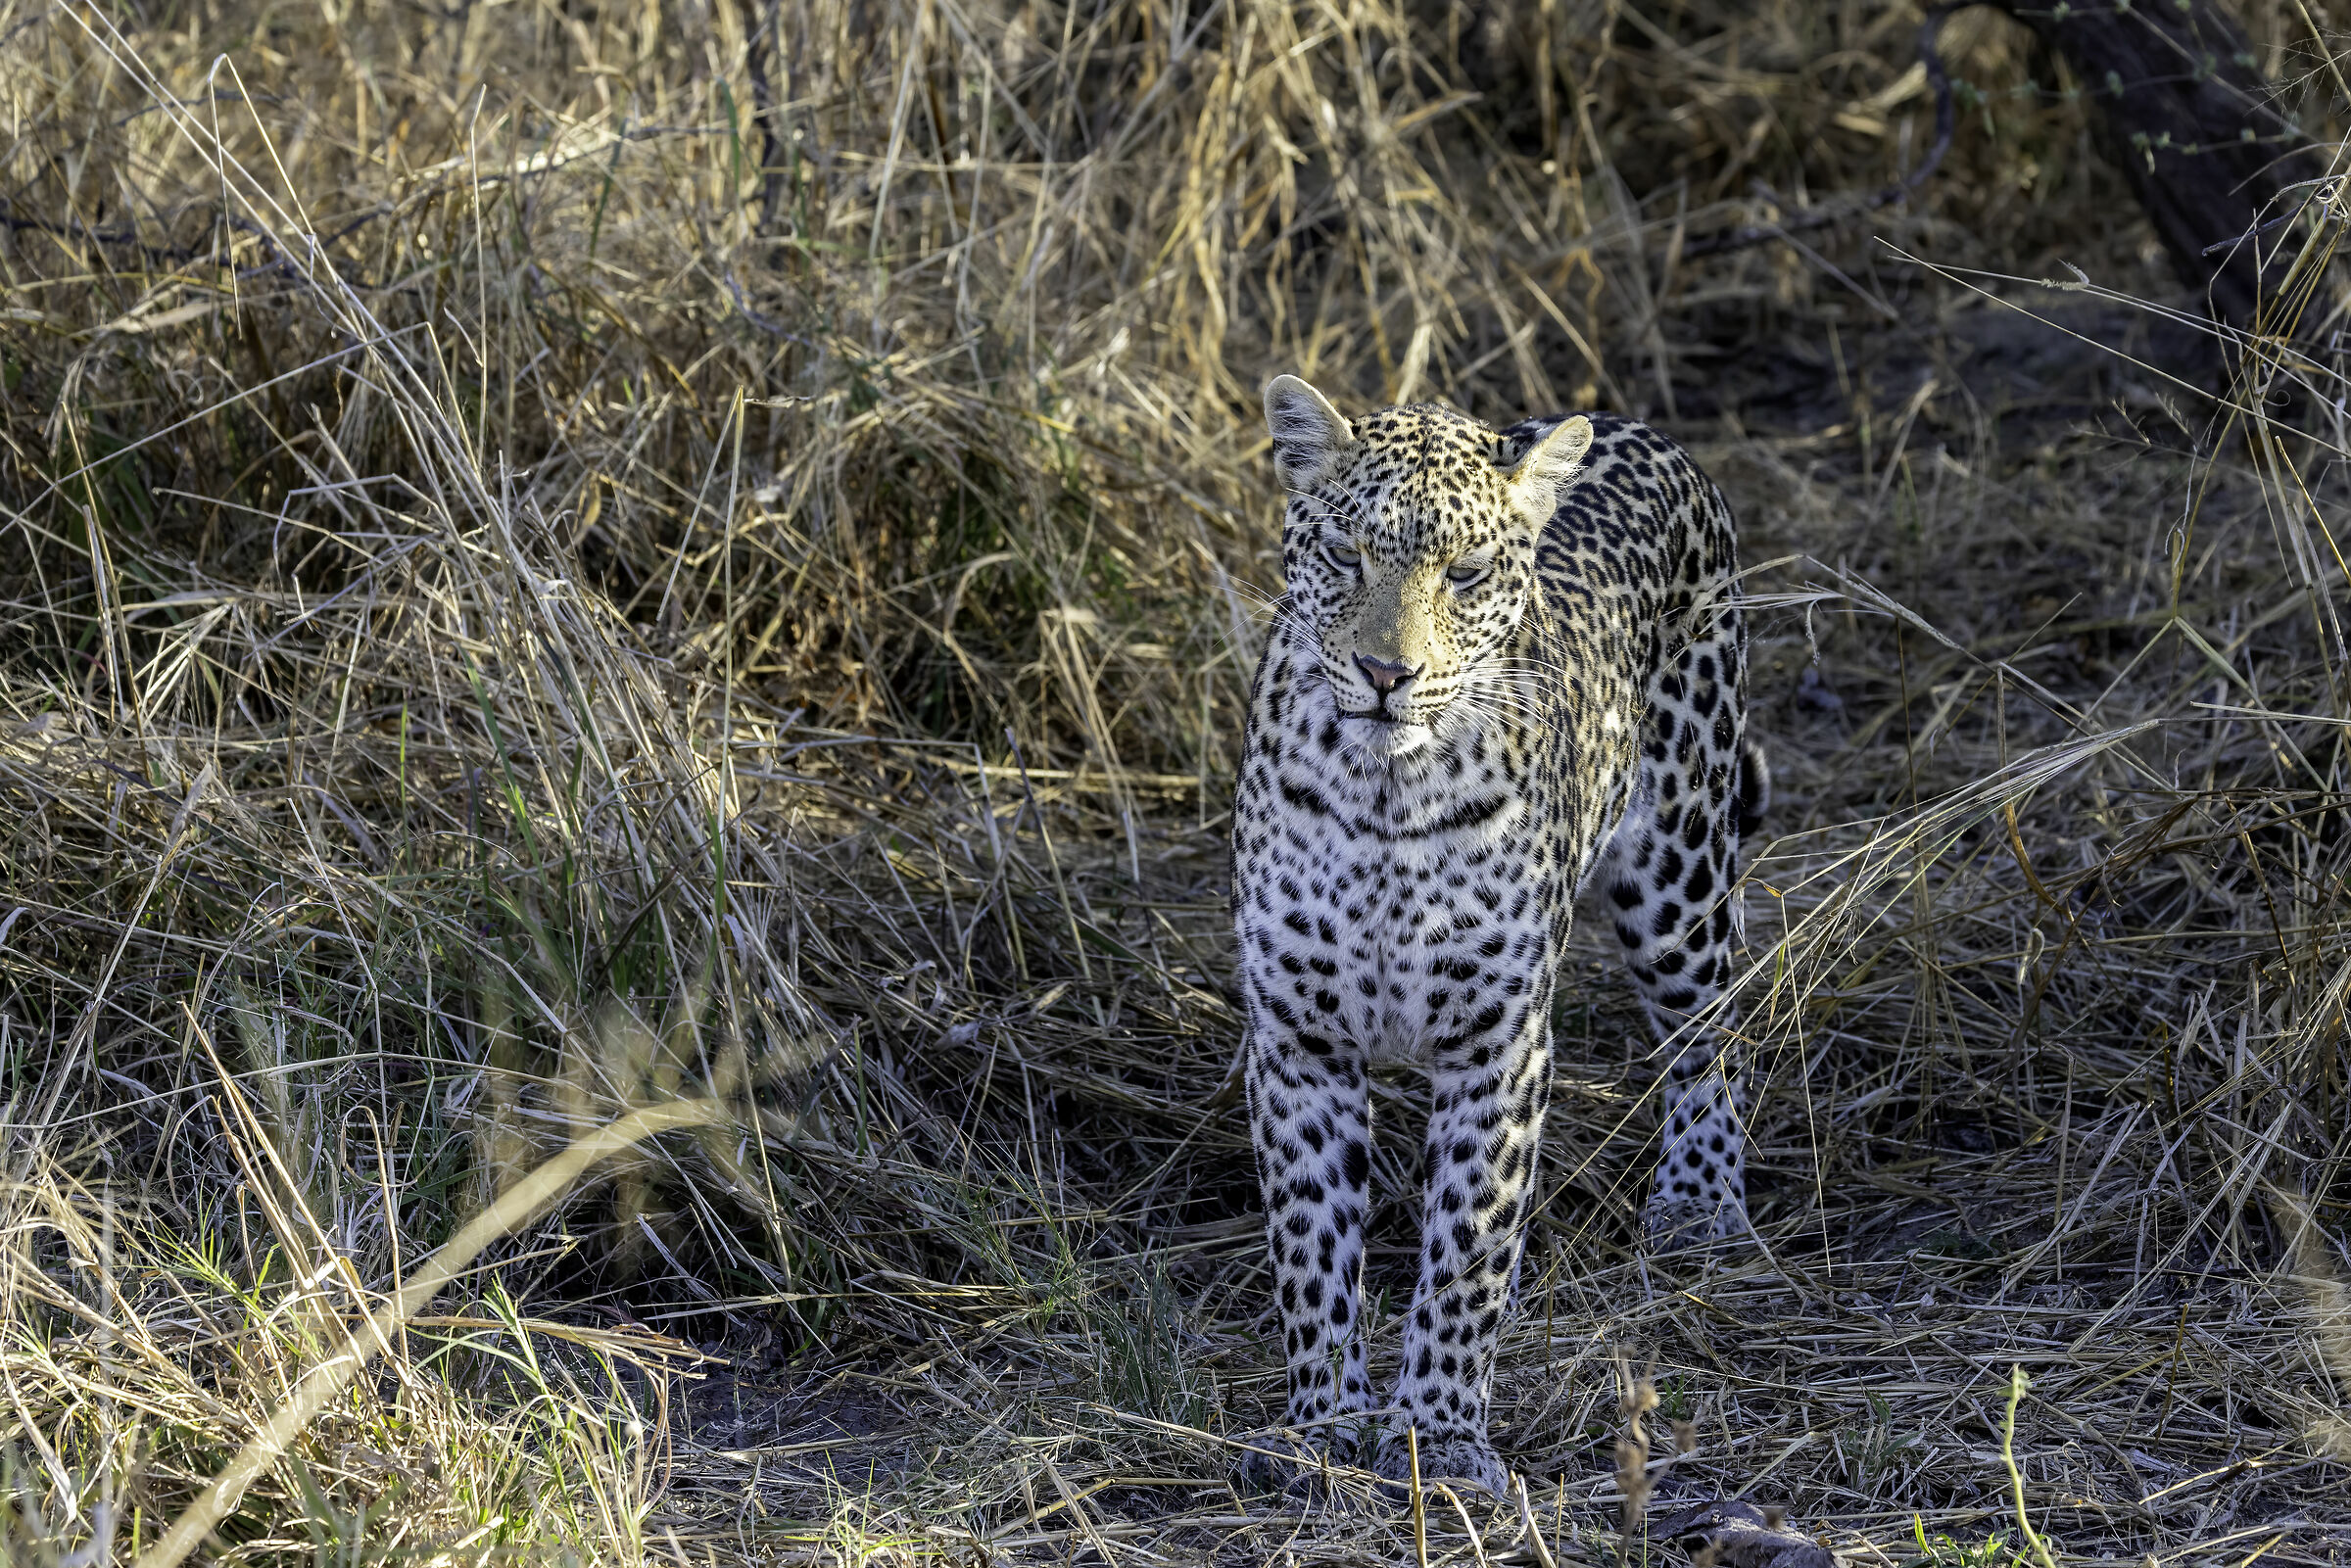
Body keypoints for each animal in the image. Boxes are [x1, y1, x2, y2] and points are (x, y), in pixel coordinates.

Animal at [1230, 375, 1766, 1500]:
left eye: (1465, 572)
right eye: (1345, 552)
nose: (1385, 672)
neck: (1386, 796)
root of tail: (1637, 425)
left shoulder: (1498, 1040)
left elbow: (1470, 1244)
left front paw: (1438, 1434)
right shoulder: (1301, 1037)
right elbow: (1310, 1239)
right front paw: (1323, 1425)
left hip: (1682, 876)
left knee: (1711, 1033)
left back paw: (1701, 1205)